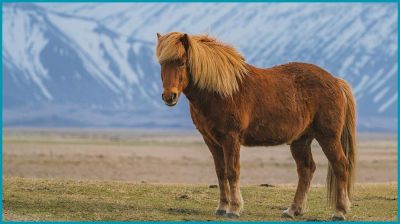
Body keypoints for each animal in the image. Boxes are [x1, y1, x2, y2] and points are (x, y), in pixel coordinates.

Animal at [155, 31, 356, 220]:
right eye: (161, 63)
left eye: (181, 62)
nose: (169, 96)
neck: (221, 91)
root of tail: (336, 81)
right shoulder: (211, 140)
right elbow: (220, 172)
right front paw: (221, 207)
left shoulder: (231, 138)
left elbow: (232, 172)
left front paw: (234, 209)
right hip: (301, 140)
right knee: (306, 169)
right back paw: (293, 210)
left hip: (328, 137)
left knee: (340, 165)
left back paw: (339, 211)